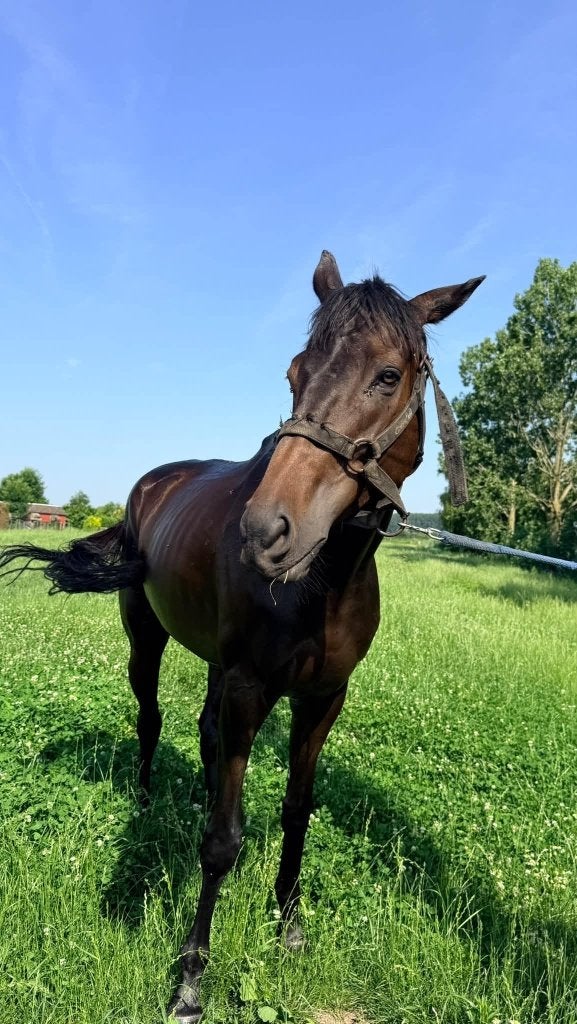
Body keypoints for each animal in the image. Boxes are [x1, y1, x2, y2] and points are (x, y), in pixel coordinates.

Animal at [0, 251, 484, 1022]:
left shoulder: (322, 697)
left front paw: (288, 925)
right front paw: (190, 978)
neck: (323, 584)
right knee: (150, 717)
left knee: (202, 730)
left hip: (213, 664)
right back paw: (146, 799)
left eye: (387, 375)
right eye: (294, 372)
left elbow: (296, 810)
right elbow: (223, 841)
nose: (266, 532)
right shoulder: (250, 688)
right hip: (147, 638)